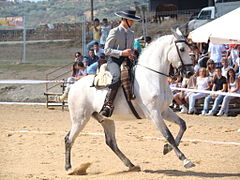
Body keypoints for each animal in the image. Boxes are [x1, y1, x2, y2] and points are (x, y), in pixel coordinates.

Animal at [65, 30, 195, 172]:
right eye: (182, 49)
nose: (190, 72)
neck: (151, 77)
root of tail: (74, 85)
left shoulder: (164, 111)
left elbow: (182, 125)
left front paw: (167, 149)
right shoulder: (154, 114)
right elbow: (168, 135)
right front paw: (185, 160)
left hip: (106, 119)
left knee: (111, 142)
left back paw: (130, 164)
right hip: (80, 119)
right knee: (69, 139)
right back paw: (69, 168)